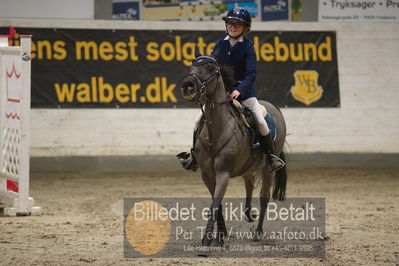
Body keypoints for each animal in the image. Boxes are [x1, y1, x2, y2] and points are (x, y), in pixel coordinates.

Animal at [181, 55, 288, 256]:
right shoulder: (207, 175)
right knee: (249, 183)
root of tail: (274, 107)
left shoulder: (223, 173)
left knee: (264, 197)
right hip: (247, 167)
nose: (187, 85)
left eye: (210, 68)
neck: (217, 132)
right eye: (190, 68)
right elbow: (218, 204)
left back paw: (258, 232)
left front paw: (206, 242)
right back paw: (248, 213)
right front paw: (220, 236)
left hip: (268, 168)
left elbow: (215, 204)